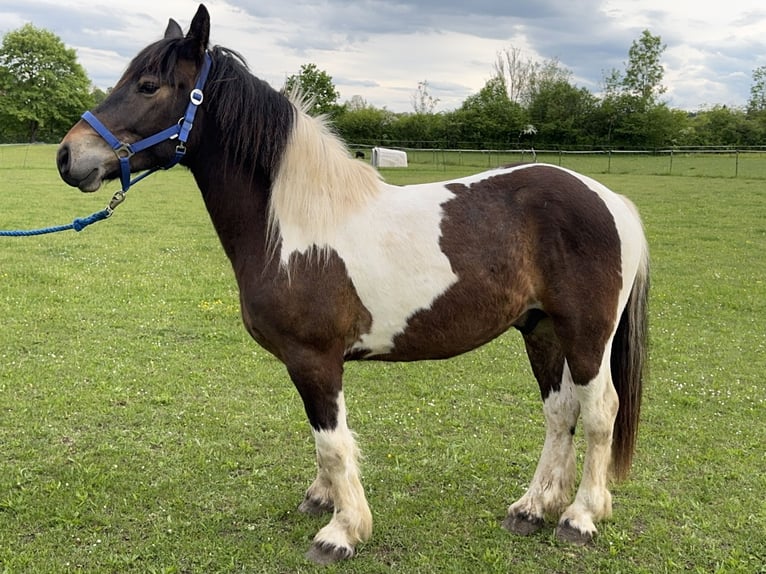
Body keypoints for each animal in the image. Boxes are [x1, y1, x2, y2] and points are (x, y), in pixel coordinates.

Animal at [57, 4, 649, 564]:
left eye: (148, 85)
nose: (68, 156)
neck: (295, 226)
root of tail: (609, 199)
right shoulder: (309, 363)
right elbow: (323, 442)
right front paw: (323, 500)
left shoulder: (315, 358)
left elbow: (334, 443)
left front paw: (341, 532)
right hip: (541, 330)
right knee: (560, 413)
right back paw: (531, 508)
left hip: (585, 335)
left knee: (600, 413)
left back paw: (580, 517)